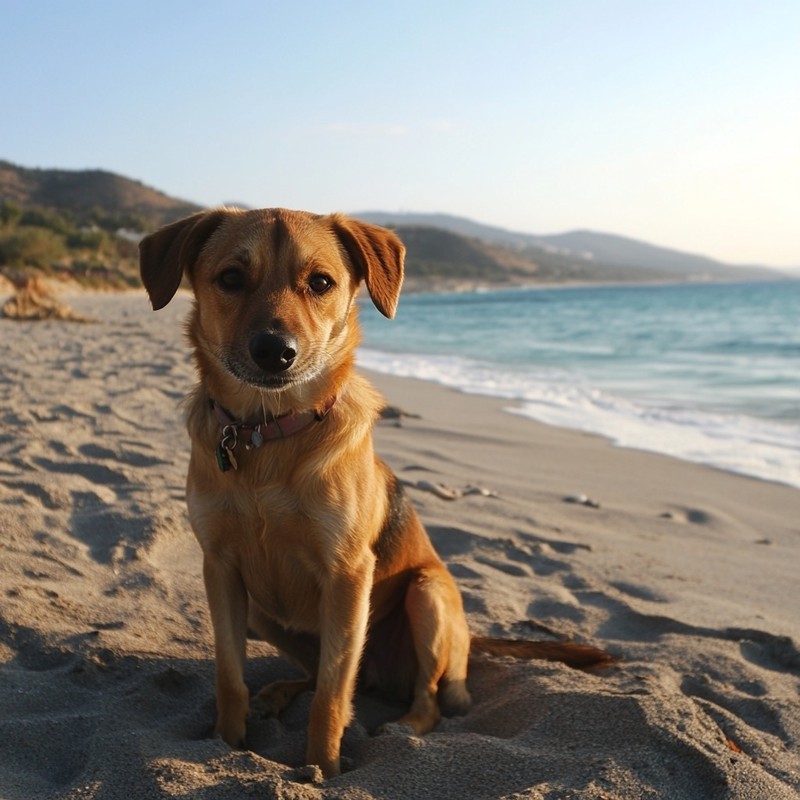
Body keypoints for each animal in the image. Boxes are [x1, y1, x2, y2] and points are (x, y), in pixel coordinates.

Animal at [139, 209, 612, 780]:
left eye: (321, 283)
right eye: (230, 278)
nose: (275, 353)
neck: (267, 434)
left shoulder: (348, 574)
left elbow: (330, 699)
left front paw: (321, 768)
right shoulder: (221, 567)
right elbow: (231, 677)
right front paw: (225, 746)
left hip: (426, 595)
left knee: (421, 697)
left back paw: (405, 724)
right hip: (263, 612)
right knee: (327, 675)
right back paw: (279, 692)